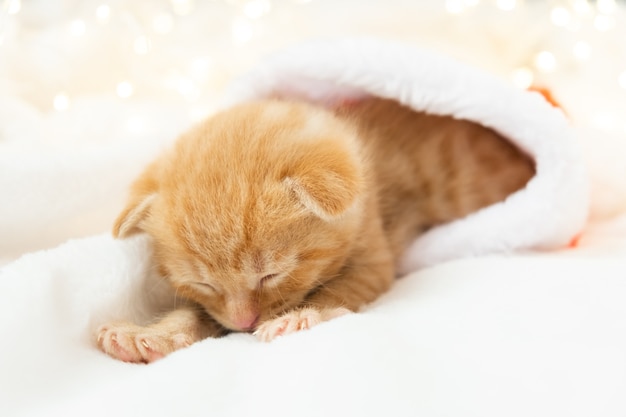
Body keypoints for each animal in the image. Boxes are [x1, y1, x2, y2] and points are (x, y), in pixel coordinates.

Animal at [96, 96, 532, 360]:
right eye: (203, 284)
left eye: (271, 275)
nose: (244, 324)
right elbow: (196, 313)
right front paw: (151, 334)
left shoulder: (374, 258)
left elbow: (339, 289)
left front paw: (302, 315)